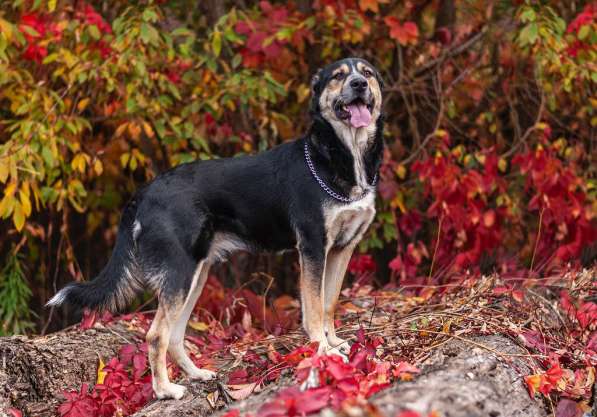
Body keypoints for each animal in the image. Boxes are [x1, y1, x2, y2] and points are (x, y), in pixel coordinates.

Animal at [45, 57, 382, 398]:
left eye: (367, 73)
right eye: (338, 76)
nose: (358, 84)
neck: (342, 154)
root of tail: (144, 193)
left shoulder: (342, 248)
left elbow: (329, 303)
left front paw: (334, 343)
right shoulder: (312, 247)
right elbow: (313, 309)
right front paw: (322, 350)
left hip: (196, 275)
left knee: (175, 336)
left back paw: (196, 374)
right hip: (179, 274)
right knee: (156, 335)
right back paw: (165, 390)